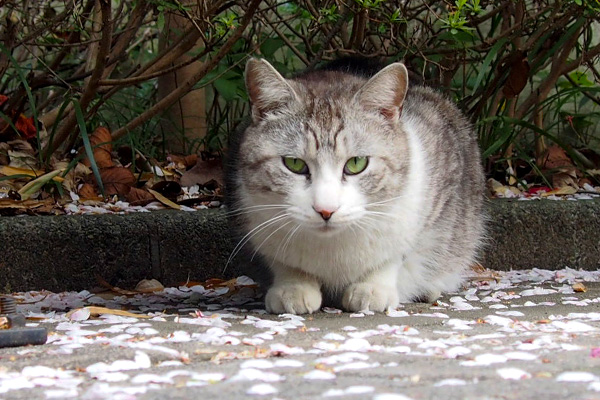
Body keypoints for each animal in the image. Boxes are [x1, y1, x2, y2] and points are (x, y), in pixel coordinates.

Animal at [223, 56, 486, 314]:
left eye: (357, 163)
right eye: (294, 163)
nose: (326, 210)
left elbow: (394, 254)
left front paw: (373, 287)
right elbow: (283, 261)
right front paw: (293, 287)